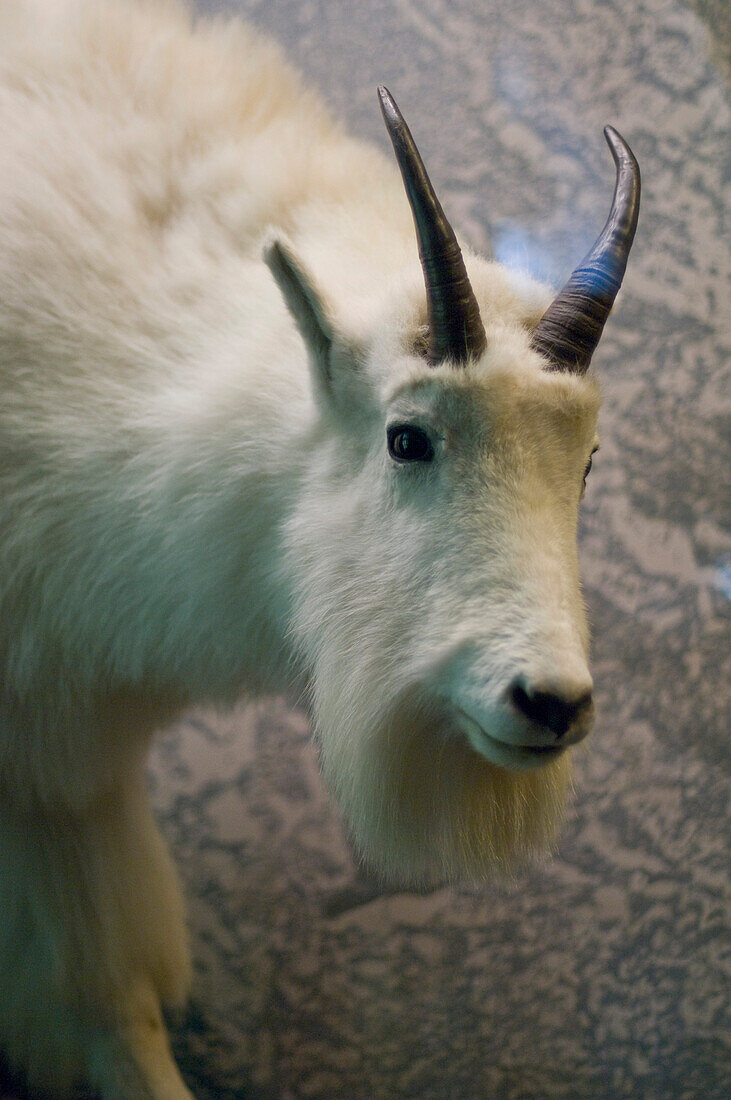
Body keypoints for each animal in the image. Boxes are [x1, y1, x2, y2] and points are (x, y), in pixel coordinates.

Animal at [0, 0, 637, 1095]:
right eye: (406, 436)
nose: (548, 701)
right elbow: (109, 1007)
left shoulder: (59, 776)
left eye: (585, 462)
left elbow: (115, 999)